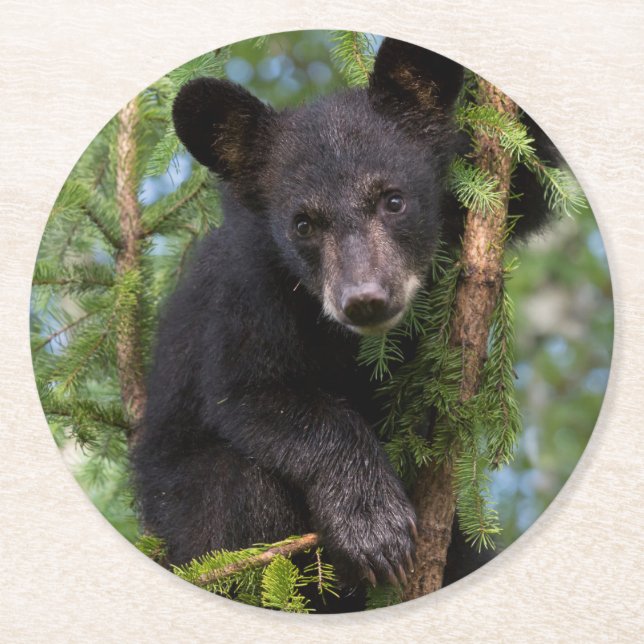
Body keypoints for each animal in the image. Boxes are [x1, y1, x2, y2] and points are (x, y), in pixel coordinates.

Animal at [131, 37, 560, 611]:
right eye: (303, 223)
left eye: (393, 199)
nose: (365, 300)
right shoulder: (246, 295)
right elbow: (253, 393)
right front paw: (373, 526)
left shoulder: (472, 206)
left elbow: (529, 176)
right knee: (231, 491)